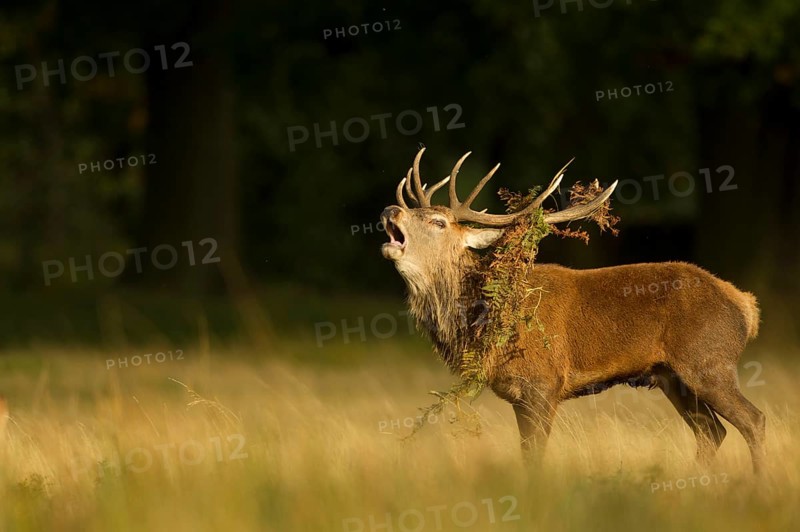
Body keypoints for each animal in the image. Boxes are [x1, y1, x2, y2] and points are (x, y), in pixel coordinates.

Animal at [380, 148, 765, 473]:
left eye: (438, 222)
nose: (389, 210)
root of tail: (747, 306)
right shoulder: (518, 396)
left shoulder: (544, 382)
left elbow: (535, 456)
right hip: (671, 376)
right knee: (712, 432)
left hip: (708, 361)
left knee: (753, 420)